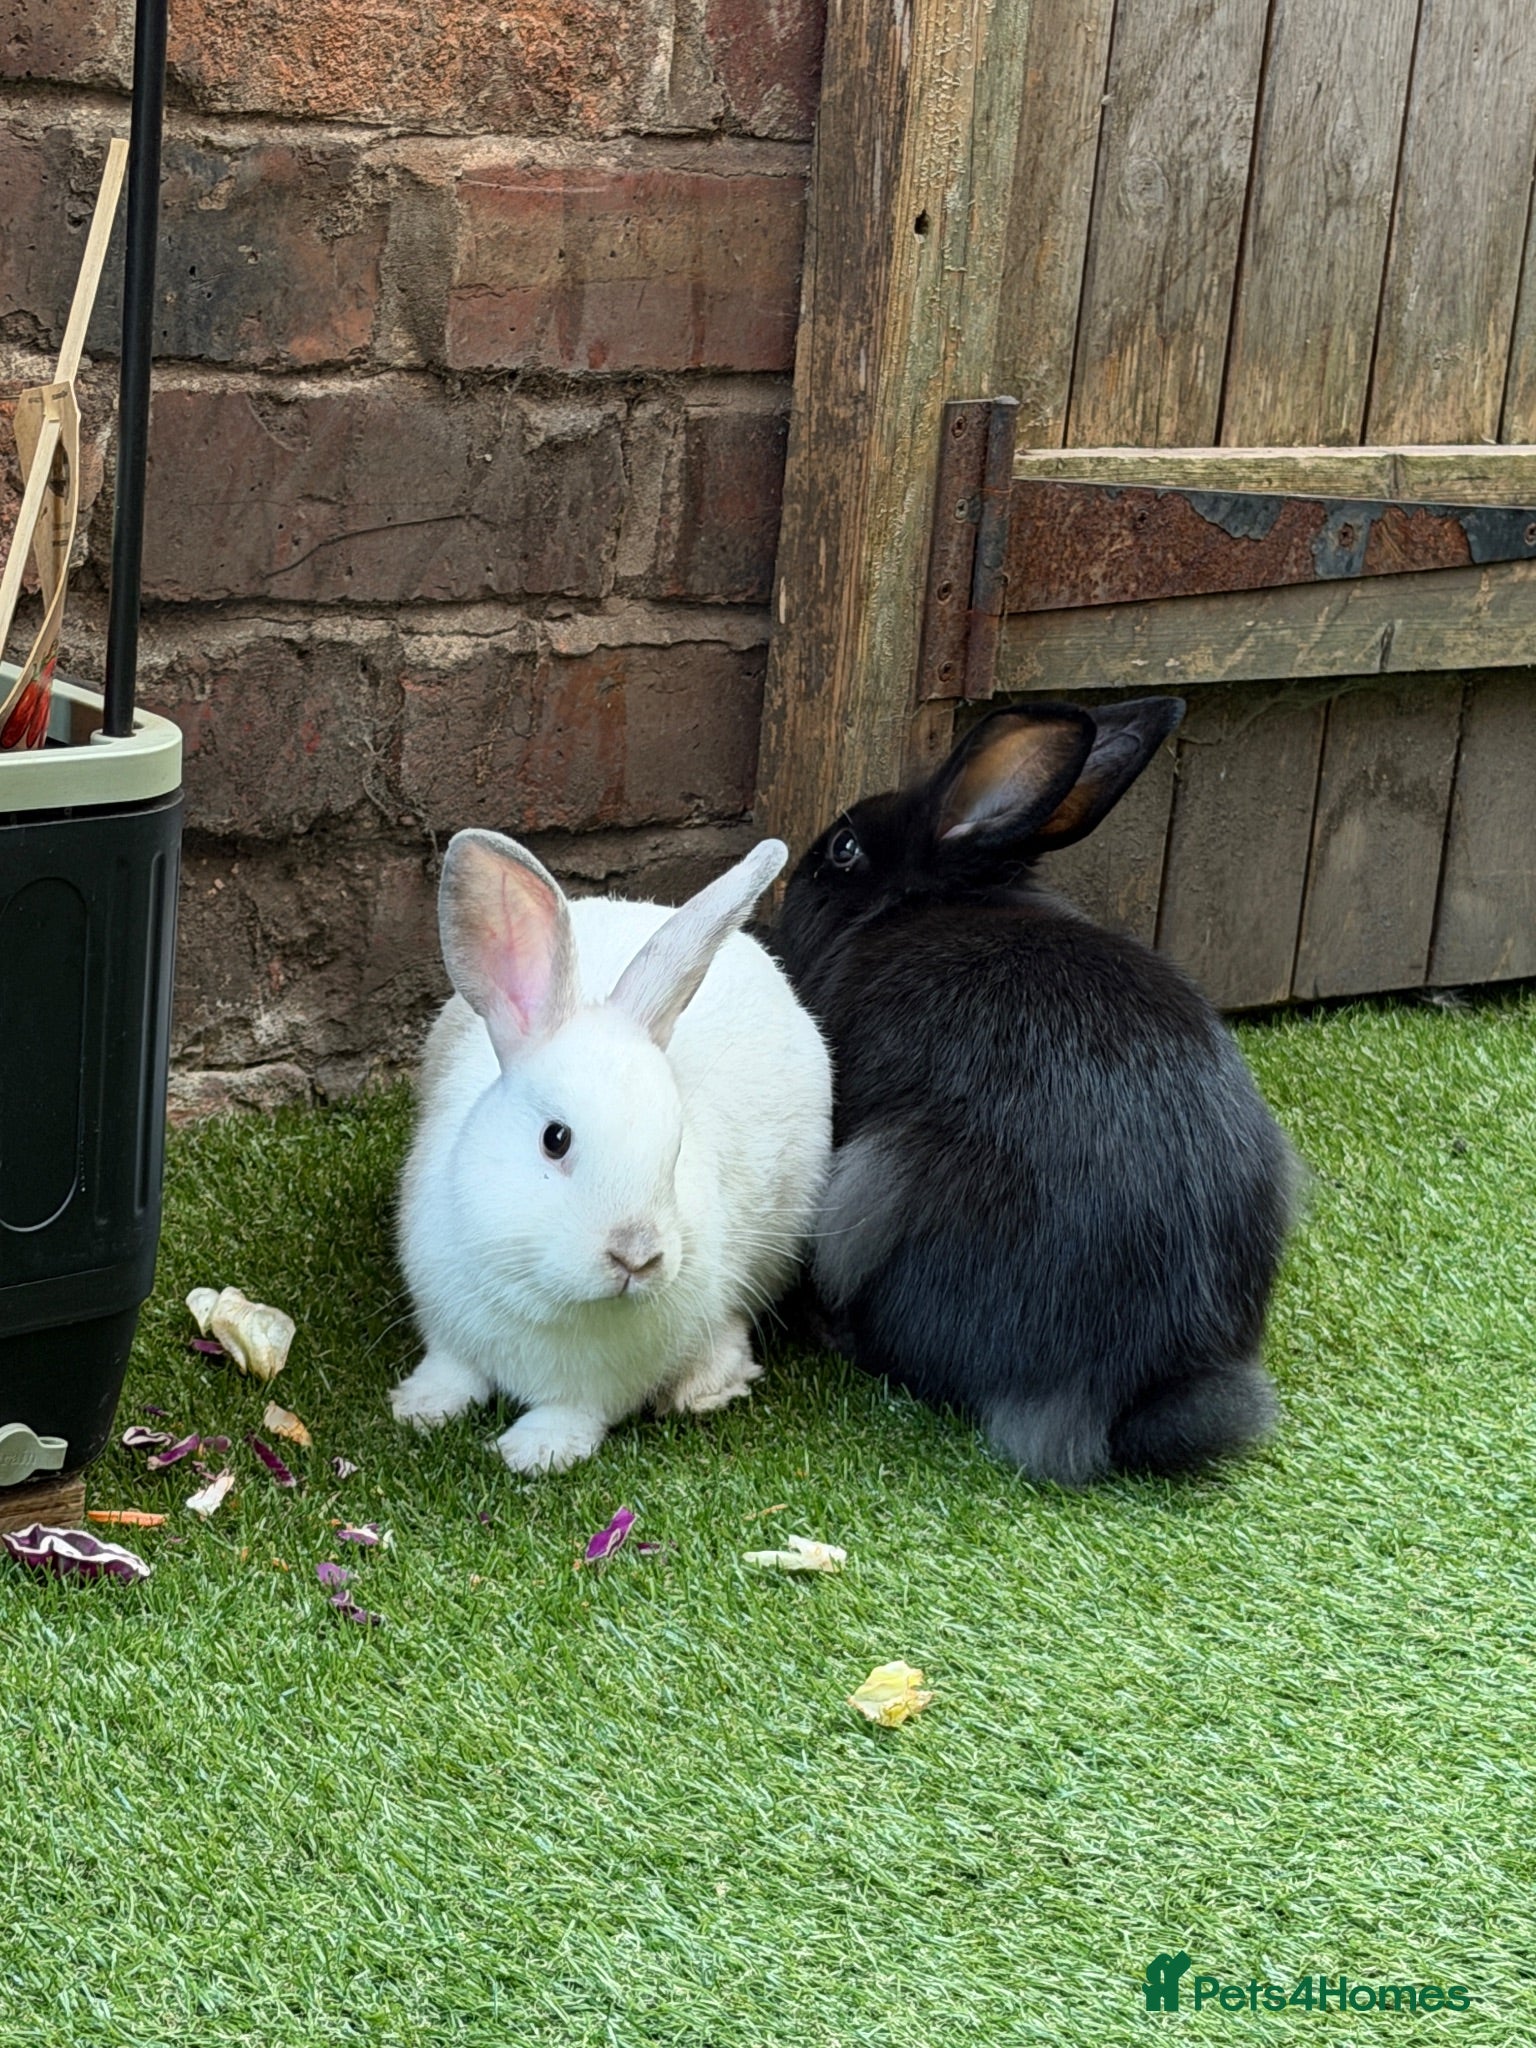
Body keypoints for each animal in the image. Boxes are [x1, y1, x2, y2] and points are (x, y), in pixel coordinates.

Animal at [391, 830, 832, 1474]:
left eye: (676, 1149)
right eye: (555, 1139)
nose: (636, 1256)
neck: (550, 1294)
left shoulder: (599, 1388)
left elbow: (574, 1412)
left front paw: (536, 1452)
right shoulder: (448, 1328)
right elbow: (451, 1371)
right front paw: (419, 1408)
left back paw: (704, 1386)